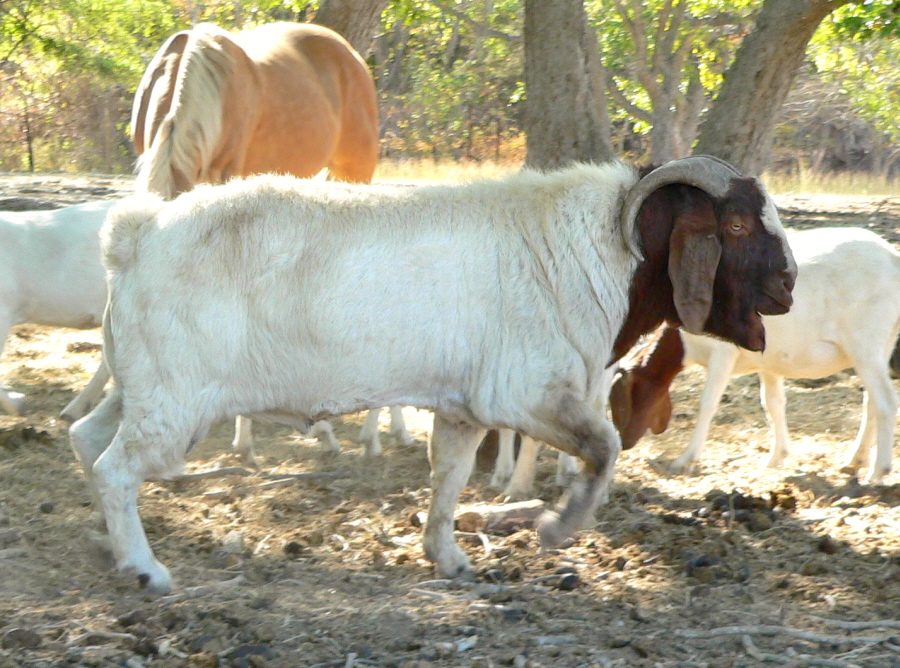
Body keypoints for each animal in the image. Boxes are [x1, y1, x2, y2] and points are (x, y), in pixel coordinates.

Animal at [67, 154, 792, 592]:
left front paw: (447, 557)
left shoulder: (464, 406)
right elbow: (605, 447)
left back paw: (108, 548)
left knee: (85, 440)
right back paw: (146, 569)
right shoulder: (525, 393)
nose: (787, 284)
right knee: (114, 468)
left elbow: (449, 478)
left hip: (140, 387)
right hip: (174, 403)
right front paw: (557, 528)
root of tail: (134, 238)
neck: (589, 253)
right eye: (733, 223)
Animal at [612, 227, 900, 482]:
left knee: (886, 401)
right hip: (879, 346)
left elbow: (708, 403)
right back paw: (855, 460)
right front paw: (776, 458)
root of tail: (892, 257)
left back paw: (878, 471)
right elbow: (772, 403)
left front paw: (685, 459)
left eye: (626, 396)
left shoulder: (722, 354)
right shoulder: (768, 364)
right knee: (871, 402)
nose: (623, 442)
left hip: (865, 343)